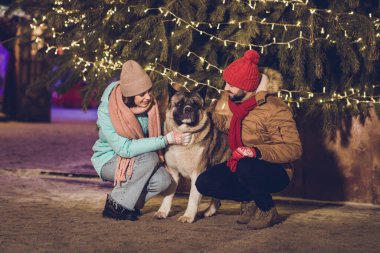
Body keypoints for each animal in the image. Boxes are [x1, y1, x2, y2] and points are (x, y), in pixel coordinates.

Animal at [154, 84, 229, 222]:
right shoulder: (173, 172)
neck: (185, 135)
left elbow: (193, 198)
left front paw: (188, 216)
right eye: (179, 104)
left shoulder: (197, 173)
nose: (188, 109)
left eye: (195, 105)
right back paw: (209, 211)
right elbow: (168, 195)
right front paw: (163, 211)